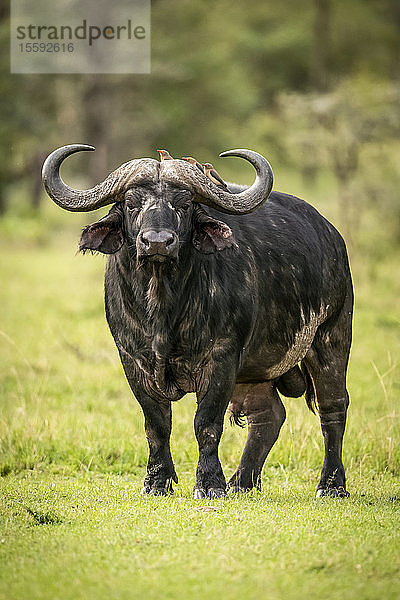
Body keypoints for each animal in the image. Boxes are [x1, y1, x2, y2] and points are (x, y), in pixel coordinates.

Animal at [42, 148, 352, 500]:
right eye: (132, 204)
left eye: (184, 204)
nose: (158, 242)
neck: (164, 308)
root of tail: (332, 237)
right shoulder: (132, 360)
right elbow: (157, 424)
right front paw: (157, 482)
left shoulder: (222, 358)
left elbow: (206, 424)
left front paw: (210, 483)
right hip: (254, 371)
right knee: (268, 415)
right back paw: (241, 482)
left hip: (331, 337)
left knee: (333, 408)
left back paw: (331, 484)